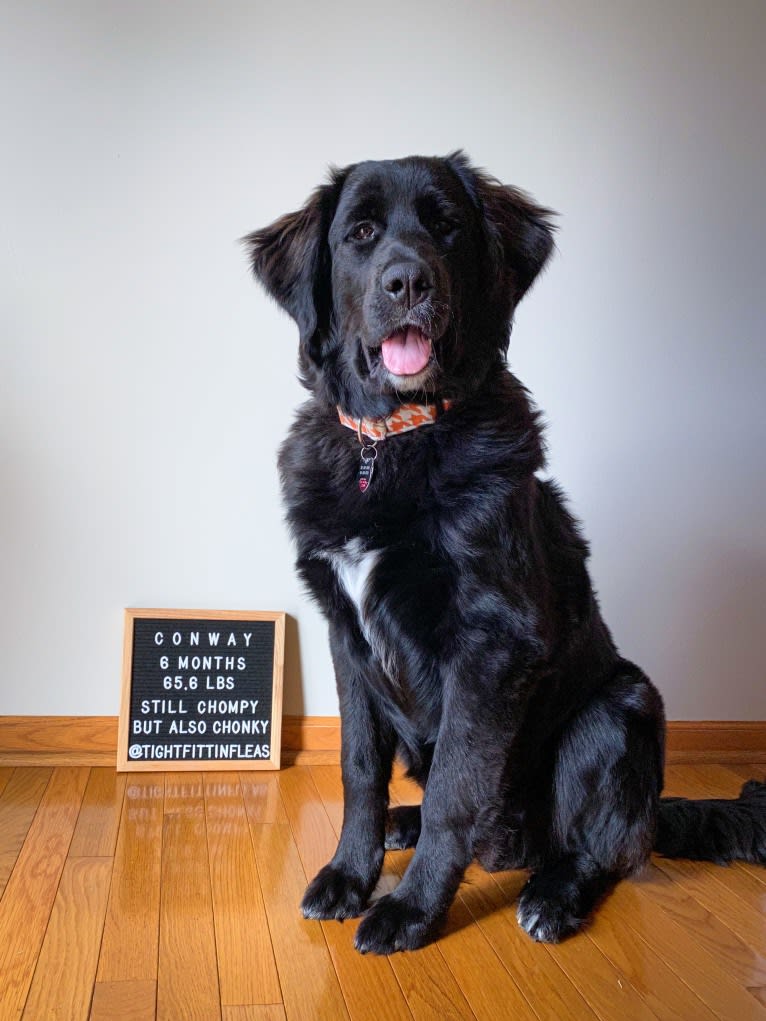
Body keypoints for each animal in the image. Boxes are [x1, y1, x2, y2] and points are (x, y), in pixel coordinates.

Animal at [247, 153, 766, 955]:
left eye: (447, 228)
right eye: (360, 233)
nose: (407, 283)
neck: (391, 442)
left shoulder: (489, 644)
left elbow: (458, 787)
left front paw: (410, 910)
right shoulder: (344, 634)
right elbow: (358, 769)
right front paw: (348, 875)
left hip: (619, 708)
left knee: (600, 850)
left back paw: (551, 896)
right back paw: (405, 826)